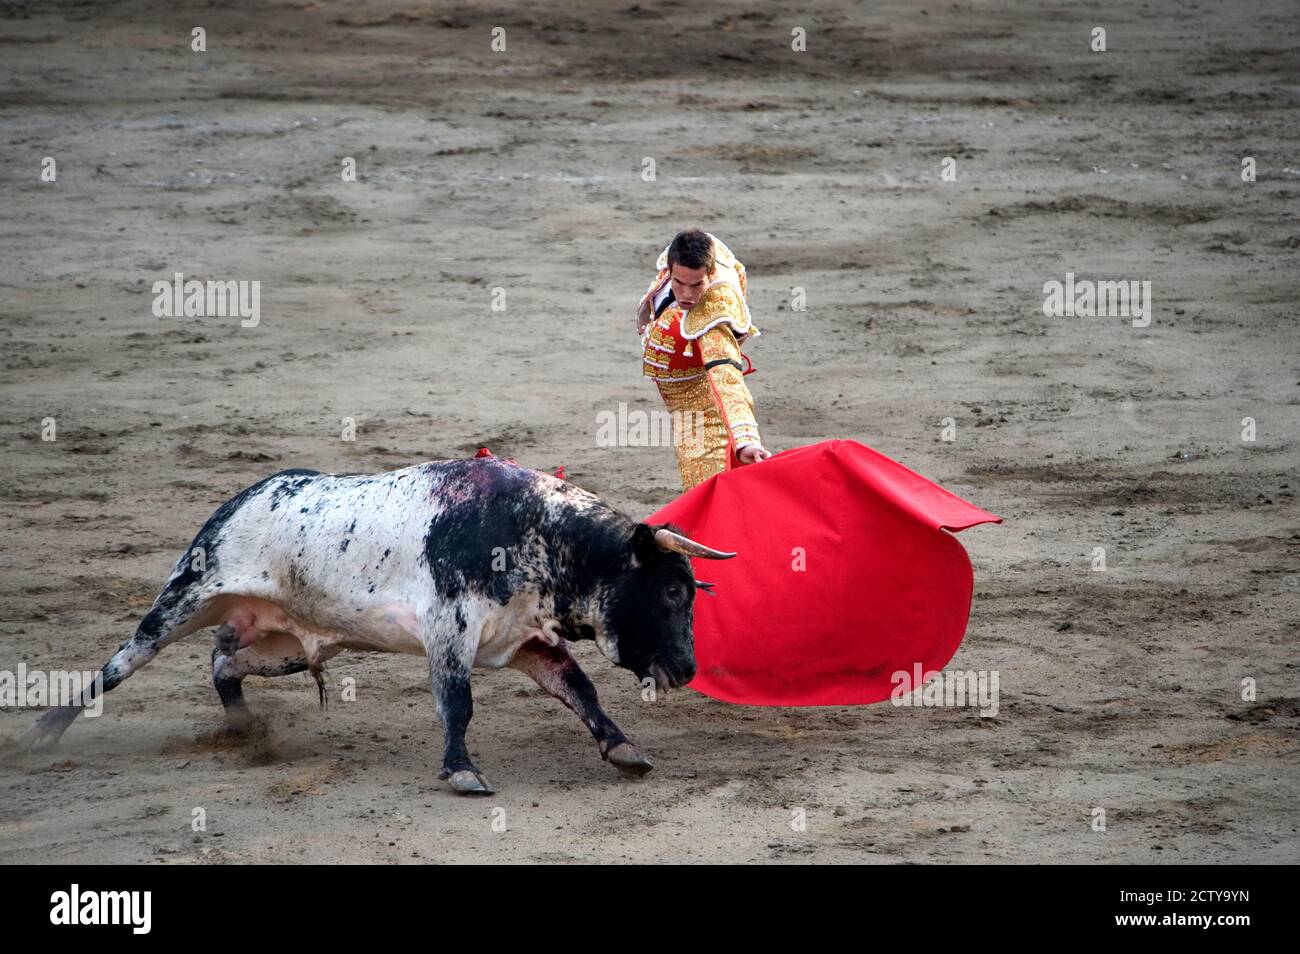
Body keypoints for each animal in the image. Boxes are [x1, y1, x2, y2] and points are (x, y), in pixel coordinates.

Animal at [20, 452, 738, 795]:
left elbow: (579, 690)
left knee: (225, 662)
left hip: (289, 641)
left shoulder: (526, 639)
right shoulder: (450, 630)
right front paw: (461, 772)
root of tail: (240, 498)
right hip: (185, 597)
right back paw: (44, 732)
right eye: (671, 590)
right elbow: (458, 704)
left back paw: (246, 730)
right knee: (122, 661)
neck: (535, 533)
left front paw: (623, 749)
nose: (688, 668)